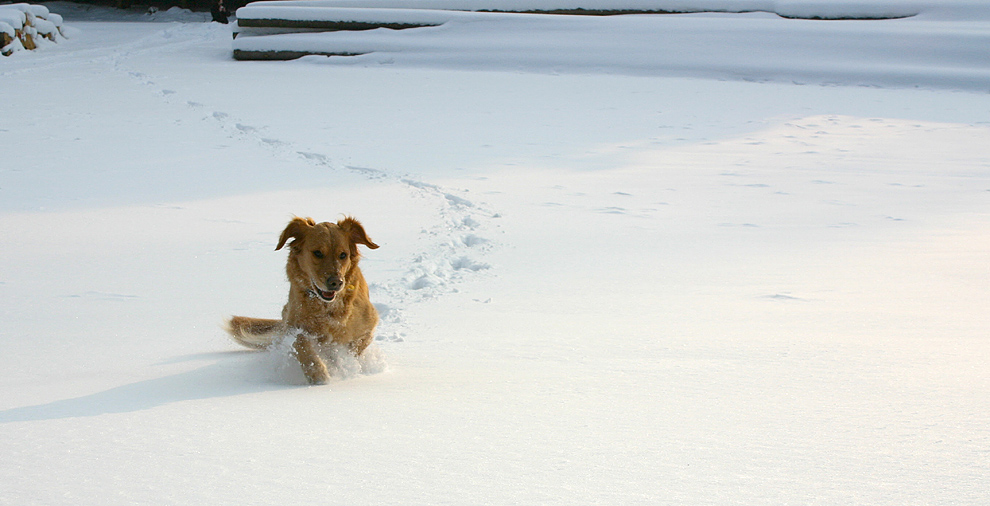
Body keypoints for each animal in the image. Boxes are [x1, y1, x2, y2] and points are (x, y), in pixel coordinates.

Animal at [228, 215, 380, 386]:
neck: (327, 307)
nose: (336, 282)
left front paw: (340, 363)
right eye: (317, 253)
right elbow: (301, 343)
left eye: (343, 255)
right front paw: (318, 373)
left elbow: (353, 349)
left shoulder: (368, 325)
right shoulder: (293, 325)